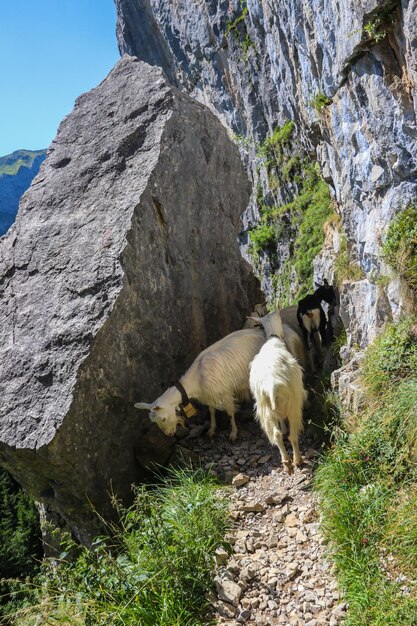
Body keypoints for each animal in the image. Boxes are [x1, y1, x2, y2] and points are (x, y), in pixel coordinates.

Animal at [136, 324, 266, 442]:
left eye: (163, 418)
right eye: (155, 421)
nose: (169, 434)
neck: (197, 378)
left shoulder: (226, 393)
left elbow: (230, 413)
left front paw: (233, 434)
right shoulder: (210, 395)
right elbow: (211, 412)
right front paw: (211, 431)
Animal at [249, 310, 308, 476]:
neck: (273, 340)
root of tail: (272, 386)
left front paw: (283, 427)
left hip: (265, 408)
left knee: (276, 435)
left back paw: (286, 462)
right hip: (293, 403)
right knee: (293, 435)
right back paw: (297, 460)